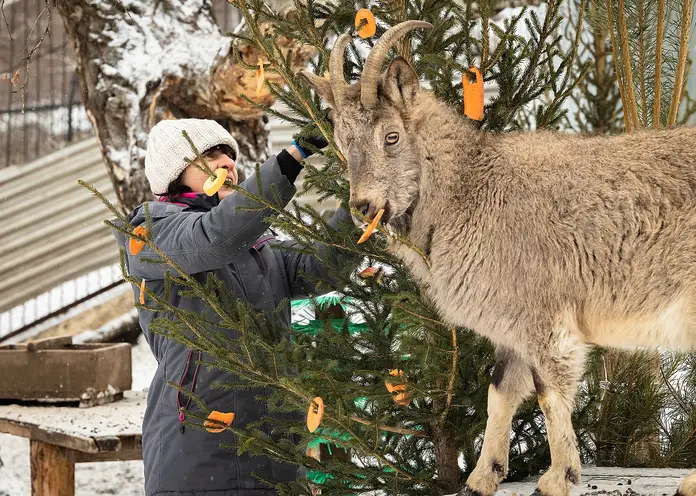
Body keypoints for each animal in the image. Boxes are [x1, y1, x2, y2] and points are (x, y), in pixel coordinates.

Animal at [304, 20, 696, 496]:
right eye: (343, 144)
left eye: (391, 136)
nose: (362, 205)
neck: (470, 188)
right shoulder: (511, 324)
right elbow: (500, 392)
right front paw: (481, 478)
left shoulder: (545, 318)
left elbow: (548, 392)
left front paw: (558, 478)